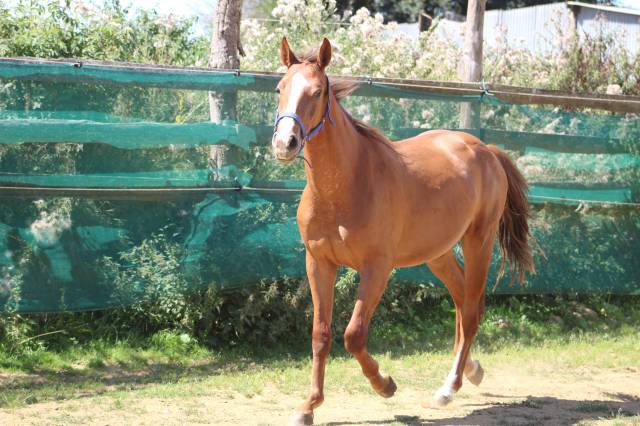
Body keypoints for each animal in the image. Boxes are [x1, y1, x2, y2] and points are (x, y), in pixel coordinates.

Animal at [271, 37, 535, 426]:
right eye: (280, 89)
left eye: (317, 92)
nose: (285, 143)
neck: (345, 187)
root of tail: (485, 150)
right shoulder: (318, 263)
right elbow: (321, 334)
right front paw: (308, 406)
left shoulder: (377, 269)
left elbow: (354, 334)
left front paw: (385, 384)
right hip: (439, 254)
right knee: (463, 302)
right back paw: (471, 369)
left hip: (479, 242)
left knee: (472, 310)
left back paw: (448, 388)